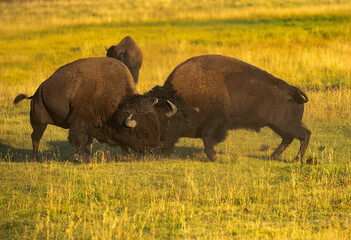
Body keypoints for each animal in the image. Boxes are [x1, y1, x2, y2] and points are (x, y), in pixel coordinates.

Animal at [14, 57, 161, 161]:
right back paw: (36, 159)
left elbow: (118, 141)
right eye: (140, 133)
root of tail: (37, 92)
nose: (154, 149)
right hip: (40, 123)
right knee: (36, 138)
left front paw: (126, 156)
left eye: (155, 126)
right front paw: (79, 157)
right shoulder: (80, 122)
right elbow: (82, 139)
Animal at [144, 54, 312, 161]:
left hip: (285, 124)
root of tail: (293, 90)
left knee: (304, 134)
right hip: (278, 125)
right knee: (289, 138)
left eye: (165, 122)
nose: (151, 148)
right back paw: (272, 157)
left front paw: (214, 157)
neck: (183, 101)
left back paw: (296, 160)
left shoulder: (212, 125)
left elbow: (208, 140)